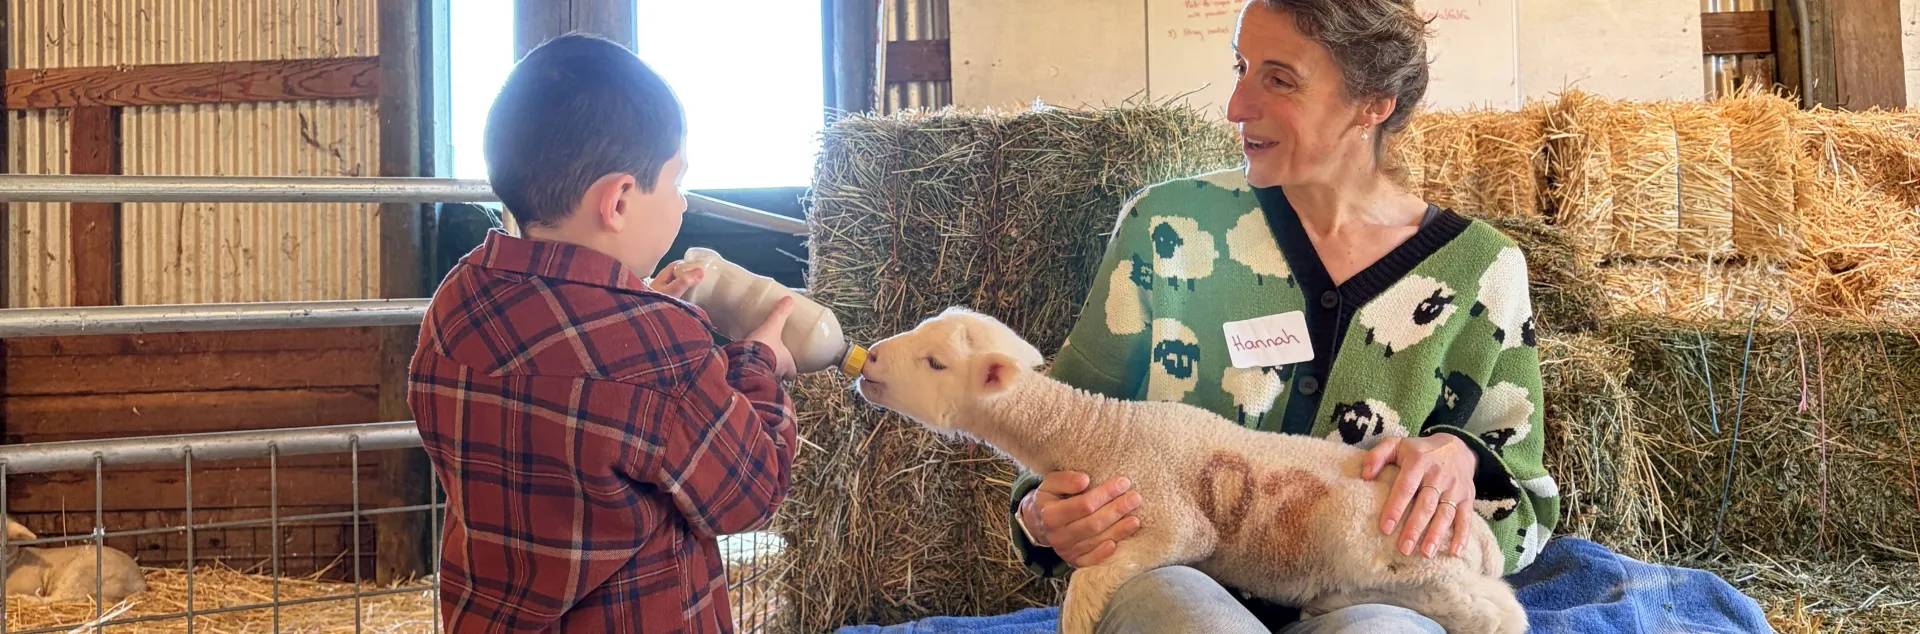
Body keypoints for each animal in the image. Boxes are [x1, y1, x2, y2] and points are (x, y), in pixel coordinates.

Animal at [852, 307, 1529, 634]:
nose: (871, 360)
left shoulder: (1174, 519)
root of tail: (1479, 537)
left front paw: (1077, 618)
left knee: (1502, 614)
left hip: (1415, 560)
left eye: (935, 362)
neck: (1099, 436)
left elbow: (1091, 578)